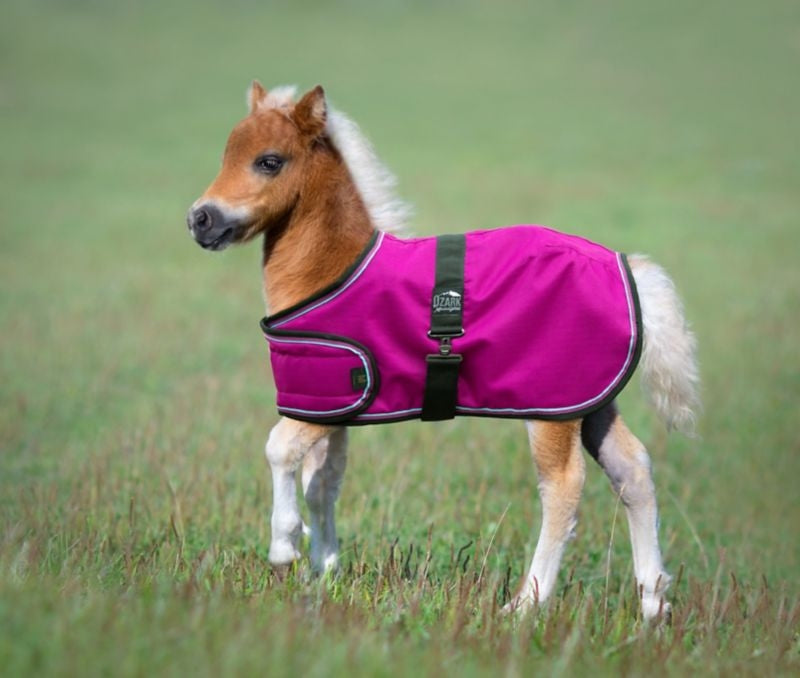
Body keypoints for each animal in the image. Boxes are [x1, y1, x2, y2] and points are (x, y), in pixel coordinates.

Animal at [186, 82, 699, 621]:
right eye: (226, 154)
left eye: (269, 161)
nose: (200, 219)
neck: (333, 270)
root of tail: (626, 266)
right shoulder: (329, 408)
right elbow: (322, 481)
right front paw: (322, 573)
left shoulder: (325, 397)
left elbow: (279, 449)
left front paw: (284, 548)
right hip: (591, 400)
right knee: (633, 470)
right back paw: (653, 604)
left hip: (551, 407)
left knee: (563, 487)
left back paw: (526, 605)